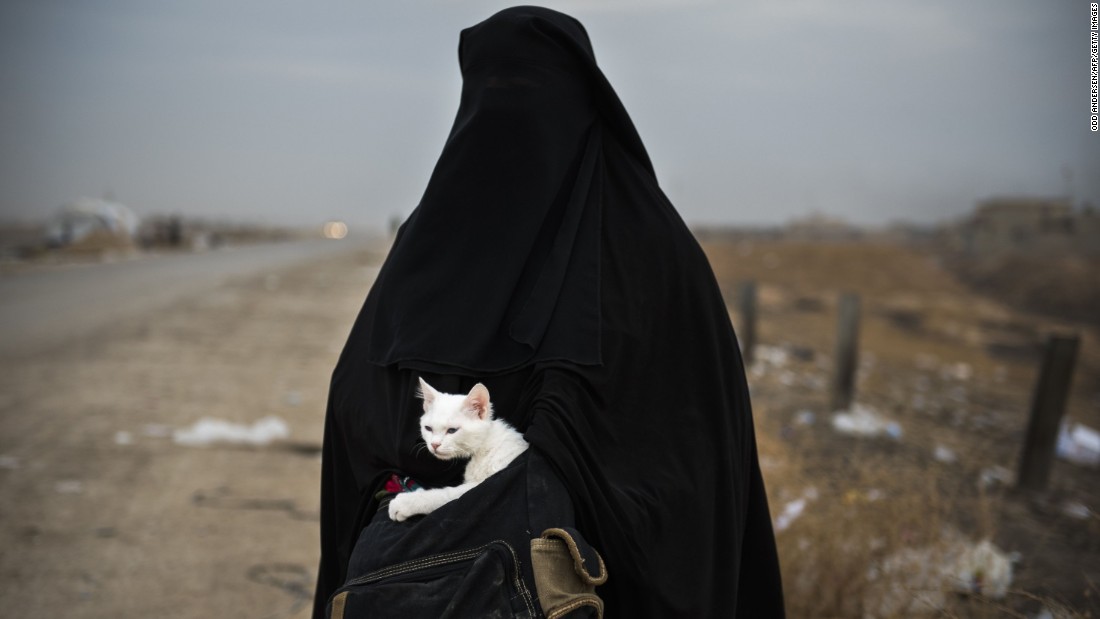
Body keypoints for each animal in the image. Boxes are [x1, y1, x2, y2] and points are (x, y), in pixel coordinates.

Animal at [387, 378, 528, 523]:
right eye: (428, 428)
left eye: (452, 430)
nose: (434, 444)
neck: (484, 446)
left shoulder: (483, 485)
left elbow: (448, 494)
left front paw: (407, 503)